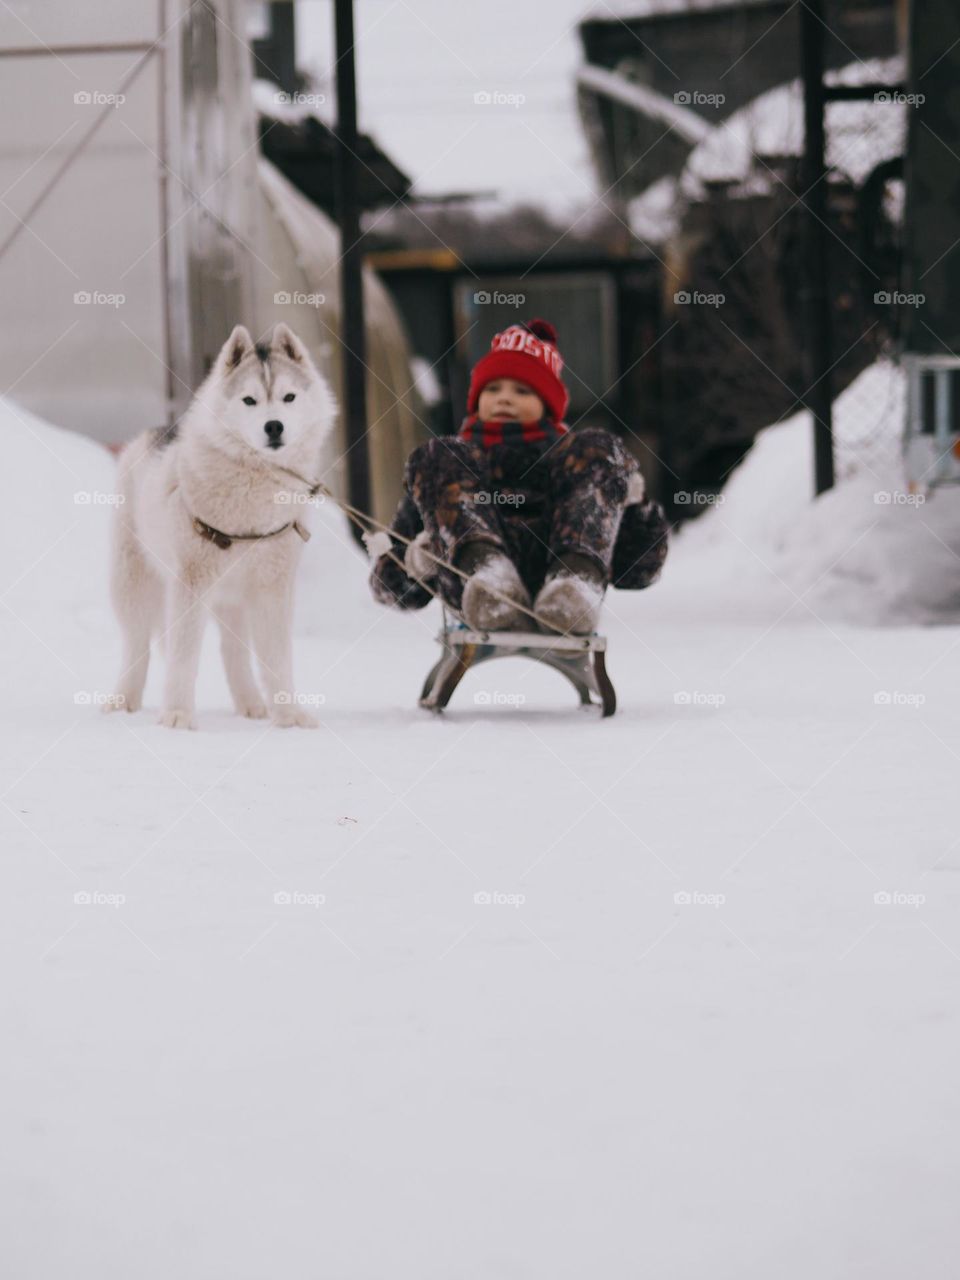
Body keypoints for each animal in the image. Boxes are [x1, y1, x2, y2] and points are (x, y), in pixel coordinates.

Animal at [105, 325, 335, 732]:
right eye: (249, 400)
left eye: (289, 397)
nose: (274, 426)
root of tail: (152, 434)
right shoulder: (191, 582)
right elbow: (183, 657)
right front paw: (177, 716)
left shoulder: (273, 589)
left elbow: (277, 659)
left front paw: (289, 716)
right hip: (135, 583)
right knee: (136, 645)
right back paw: (124, 702)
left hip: (234, 600)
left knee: (232, 652)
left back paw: (251, 705)